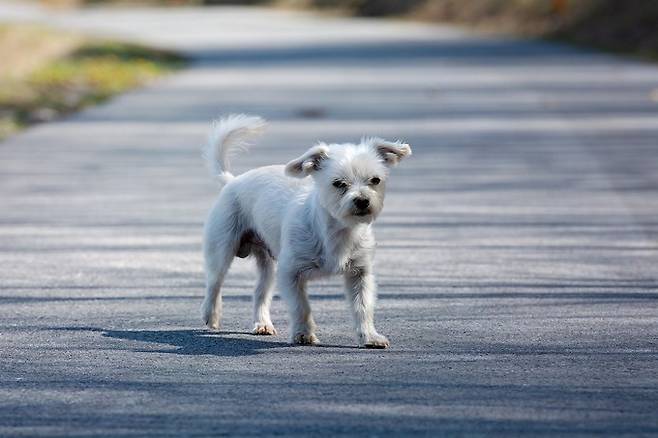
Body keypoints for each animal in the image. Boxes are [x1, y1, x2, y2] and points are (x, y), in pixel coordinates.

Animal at [200, 114, 408, 348]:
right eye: (338, 183)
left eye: (375, 180)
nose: (362, 200)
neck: (337, 231)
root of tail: (232, 181)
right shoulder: (290, 273)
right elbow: (301, 306)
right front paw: (303, 334)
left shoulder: (360, 274)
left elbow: (363, 307)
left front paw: (370, 336)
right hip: (222, 250)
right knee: (214, 283)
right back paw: (211, 315)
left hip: (268, 265)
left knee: (260, 292)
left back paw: (262, 324)